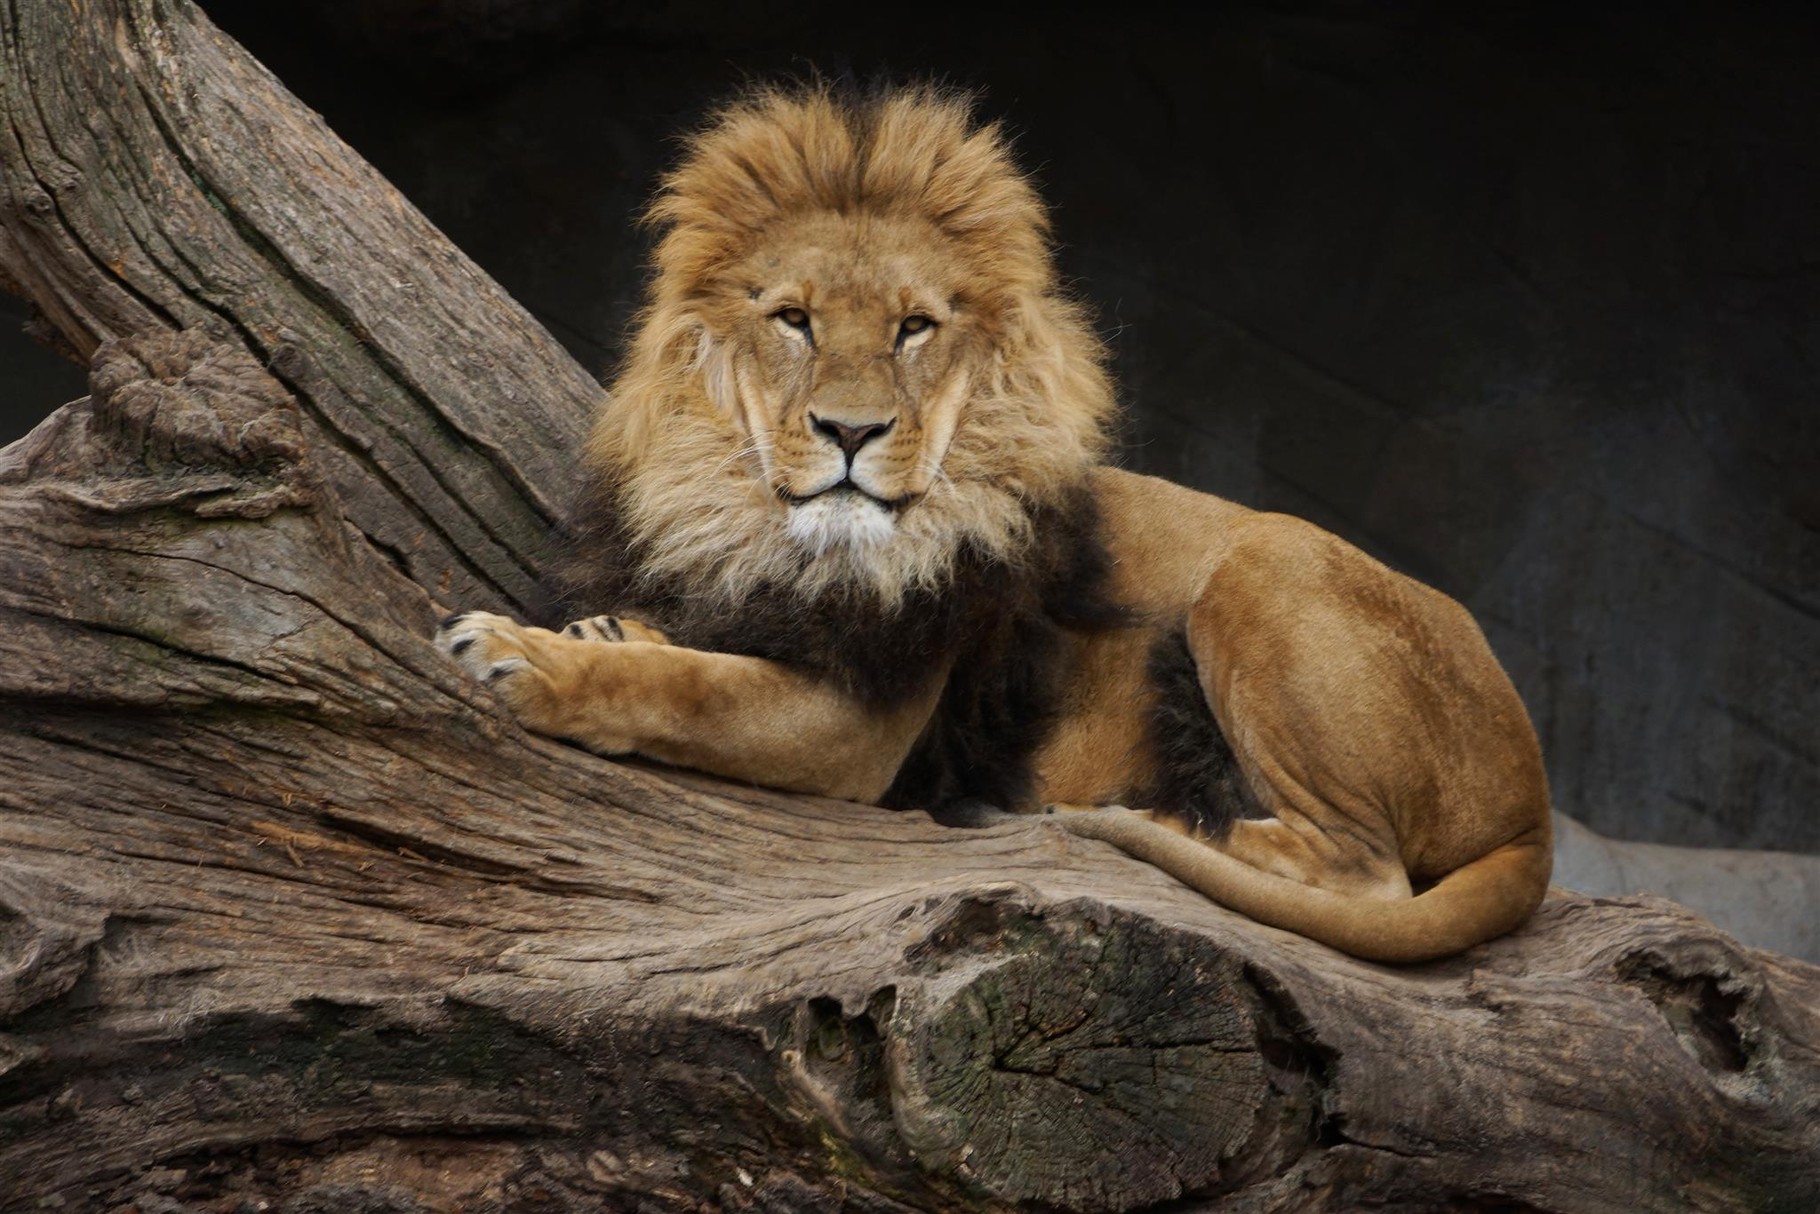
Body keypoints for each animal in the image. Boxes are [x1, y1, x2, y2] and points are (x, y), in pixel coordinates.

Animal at [437, 84, 1553, 963]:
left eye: (912, 328)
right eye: (794, 319)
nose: (850, 430)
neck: (766, 528)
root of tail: (1536, 802)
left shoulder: (864, 724)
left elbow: (685, 691)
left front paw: (523, 656)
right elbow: (685, 645)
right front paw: (604, 626)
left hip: (1262, 565)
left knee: (1365, 871)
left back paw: (1148, 813)